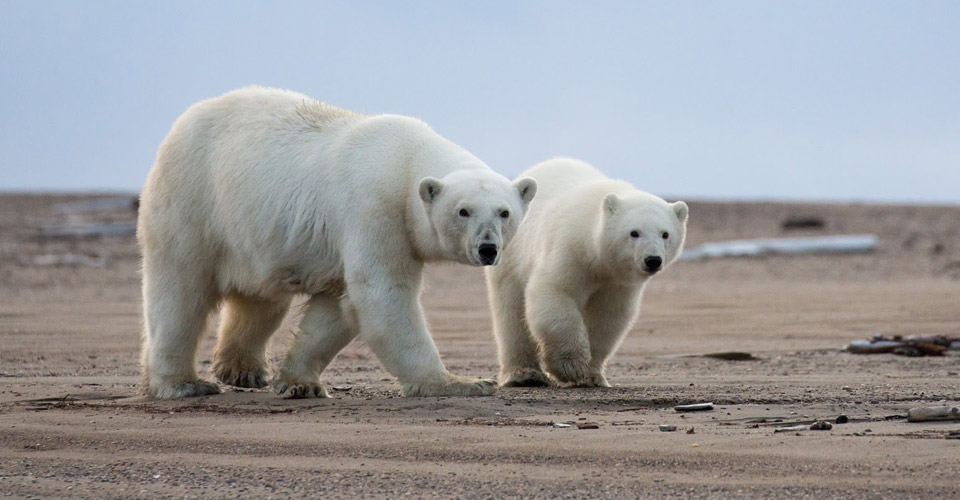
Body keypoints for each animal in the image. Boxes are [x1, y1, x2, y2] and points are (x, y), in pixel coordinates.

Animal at [139, 85, 536, 398]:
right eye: (463, 211)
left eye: (504, 212)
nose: (487, 248)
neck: (407, 161)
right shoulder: (375, 210)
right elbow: (381, 293)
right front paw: (462, 382)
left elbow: (336, 307)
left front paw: (300, 383)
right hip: (194, 200)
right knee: (180, 292)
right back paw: (183, 384)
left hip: (256, 228)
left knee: (261, 299)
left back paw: (243, 369)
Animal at [488, 158, 684, 388]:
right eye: (634, 232)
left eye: (665, 234)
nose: (652, 260)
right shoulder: (569, 249)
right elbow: (555, 293)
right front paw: (571, 367)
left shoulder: (617, 281)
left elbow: (607, 316)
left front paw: (592, 376)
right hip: (513, 253)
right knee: (510, 311)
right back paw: (524, 374)